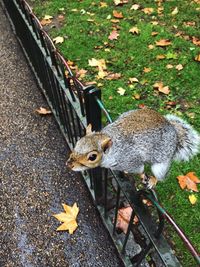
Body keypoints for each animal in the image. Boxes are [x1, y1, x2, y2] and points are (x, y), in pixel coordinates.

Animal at [67, 109, 200, 188]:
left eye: (92, 157)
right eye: (78, 142)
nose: (69, 164)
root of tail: (175, 134)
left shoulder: (131, 160)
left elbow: (140, 169)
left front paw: (141, 176)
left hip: (161, 162)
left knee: (160, 175)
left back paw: (153, 180)